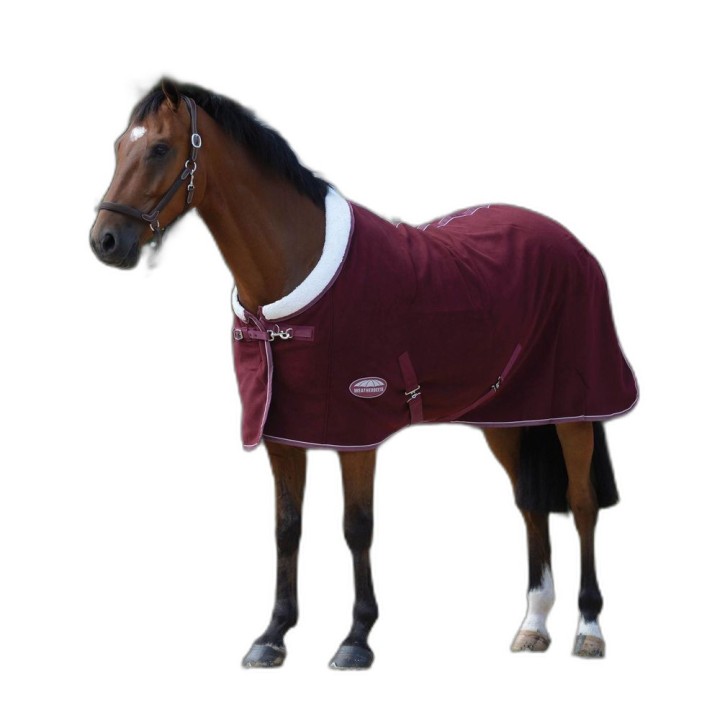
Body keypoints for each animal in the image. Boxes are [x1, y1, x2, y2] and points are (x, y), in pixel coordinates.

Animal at [89, 78, 637, 669]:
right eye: (118, 145)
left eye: (160, 148)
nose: (105, 241)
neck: (295, 271)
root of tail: (570, 243)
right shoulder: (282, 434)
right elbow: (287, 529)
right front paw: (273, 635)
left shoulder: (357, 435)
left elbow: (357, 528)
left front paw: (356, 638)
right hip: (508, 417)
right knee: (531, 505)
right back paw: (533, 624)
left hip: (574, 411)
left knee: (581, 504)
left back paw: (589, 627)